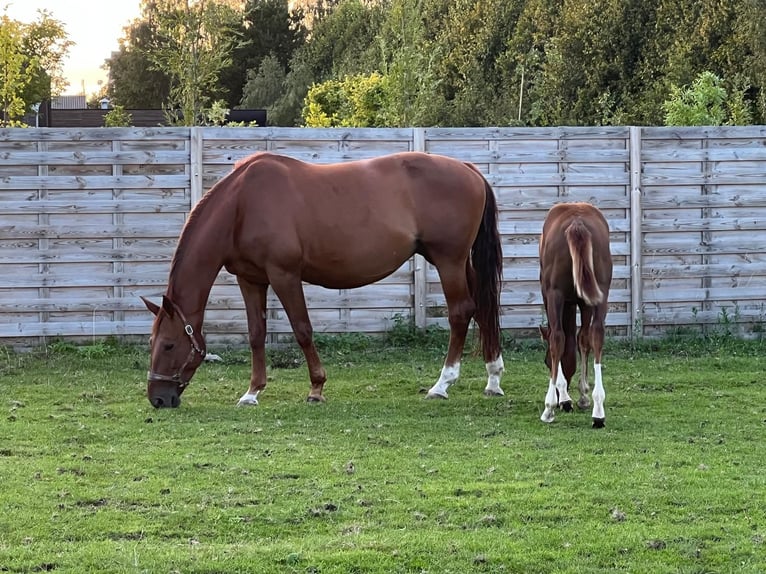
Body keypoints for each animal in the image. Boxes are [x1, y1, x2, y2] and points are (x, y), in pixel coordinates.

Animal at [142, 151, 508, 408]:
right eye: (152, 342)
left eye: (170, 344)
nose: (158, 398)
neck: (241, 206)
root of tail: (469, 169)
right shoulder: (251, 279)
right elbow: (256, 334)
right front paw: (252, 392)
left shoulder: (284, 275)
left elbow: (303, 330)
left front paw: (316, 388)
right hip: (456, 262)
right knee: (483, 306)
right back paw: (493, 379)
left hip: (448, 261)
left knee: (460, 313)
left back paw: (442, 385)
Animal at [540, 202, 616, 428]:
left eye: (546, 362)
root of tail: (577, 223)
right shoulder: (584, 302)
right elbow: (583, 339)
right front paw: (583, 396)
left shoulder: (551, 296)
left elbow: (559, 340)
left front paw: (564, 397)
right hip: (600, 293)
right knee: (597, 334)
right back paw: (598, 410)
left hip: (554, 294)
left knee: (557, 338)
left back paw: (549, 408)